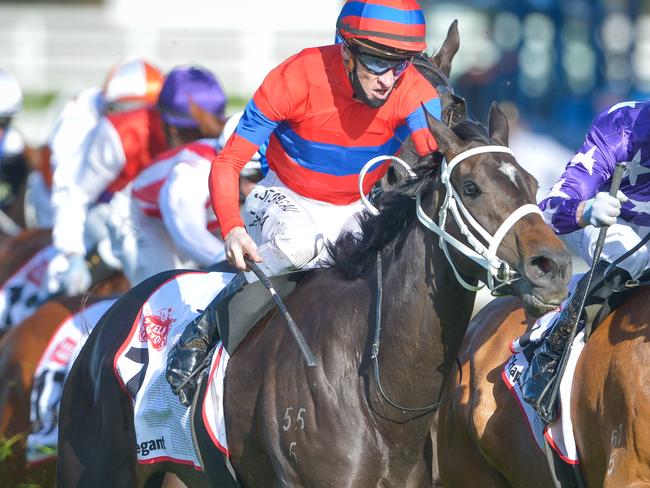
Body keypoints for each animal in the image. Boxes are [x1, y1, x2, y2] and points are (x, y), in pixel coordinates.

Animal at [55, 96, 568, 488]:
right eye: (471, 186)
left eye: (532, 183)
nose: (554, 267)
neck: (375, 388)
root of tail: (107, 319)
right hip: (95, 469)